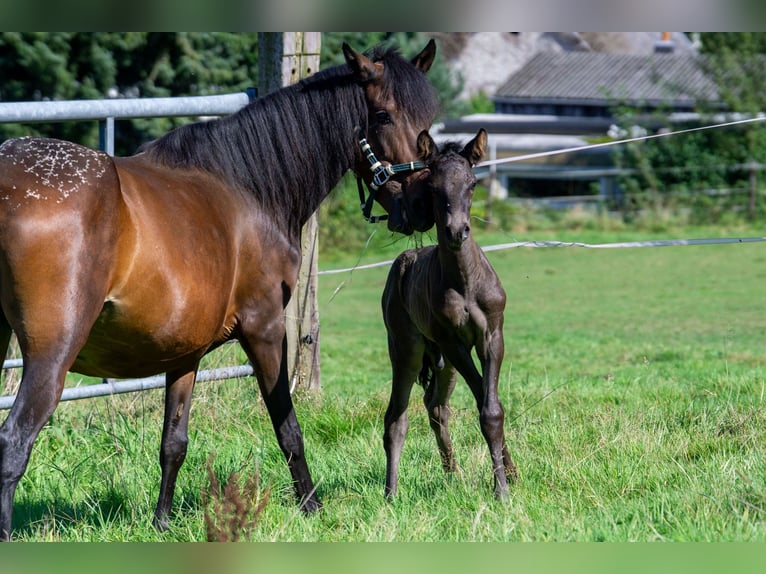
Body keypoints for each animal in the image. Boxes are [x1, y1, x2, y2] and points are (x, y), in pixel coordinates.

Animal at [0, 40, 438, 540]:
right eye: (383, 115)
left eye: (428, 117)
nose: (422, 206)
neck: (247, 188)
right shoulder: (265, 329)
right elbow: (287, 426)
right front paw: (311, 506)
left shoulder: (182, 353)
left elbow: (173, 442)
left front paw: (162, 522)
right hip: (52, 354)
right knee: (14, 442)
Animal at [380, 128, 520, 502]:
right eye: (432, 185)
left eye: (472, 183)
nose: (457, 231)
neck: (465, 282)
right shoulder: (454, 343)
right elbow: (484, 404)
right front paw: (501, 489)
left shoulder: (492, 337)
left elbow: (491, 407)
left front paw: (509, 477)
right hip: (408, 348)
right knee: (397, 418)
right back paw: (390, 493)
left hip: (442, 362)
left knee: (436, 406)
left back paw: (452, 473)